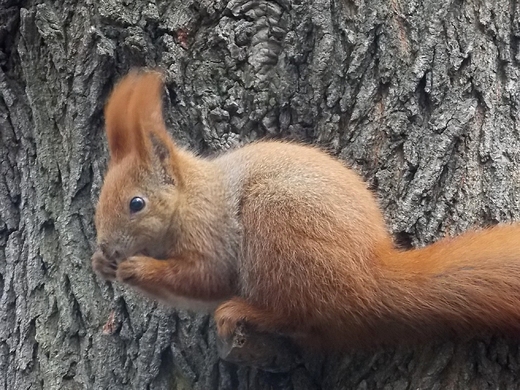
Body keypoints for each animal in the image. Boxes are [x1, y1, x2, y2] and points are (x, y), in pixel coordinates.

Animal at [92, 69, 520, 348]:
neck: (188, 197)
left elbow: (206, 277)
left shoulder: (210, 227)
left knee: (301, 316)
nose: (108, 248)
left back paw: (246, 313)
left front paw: (137, 268)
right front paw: (103, 265)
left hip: (276, 230)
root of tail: (369, 277)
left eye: (136, 203)